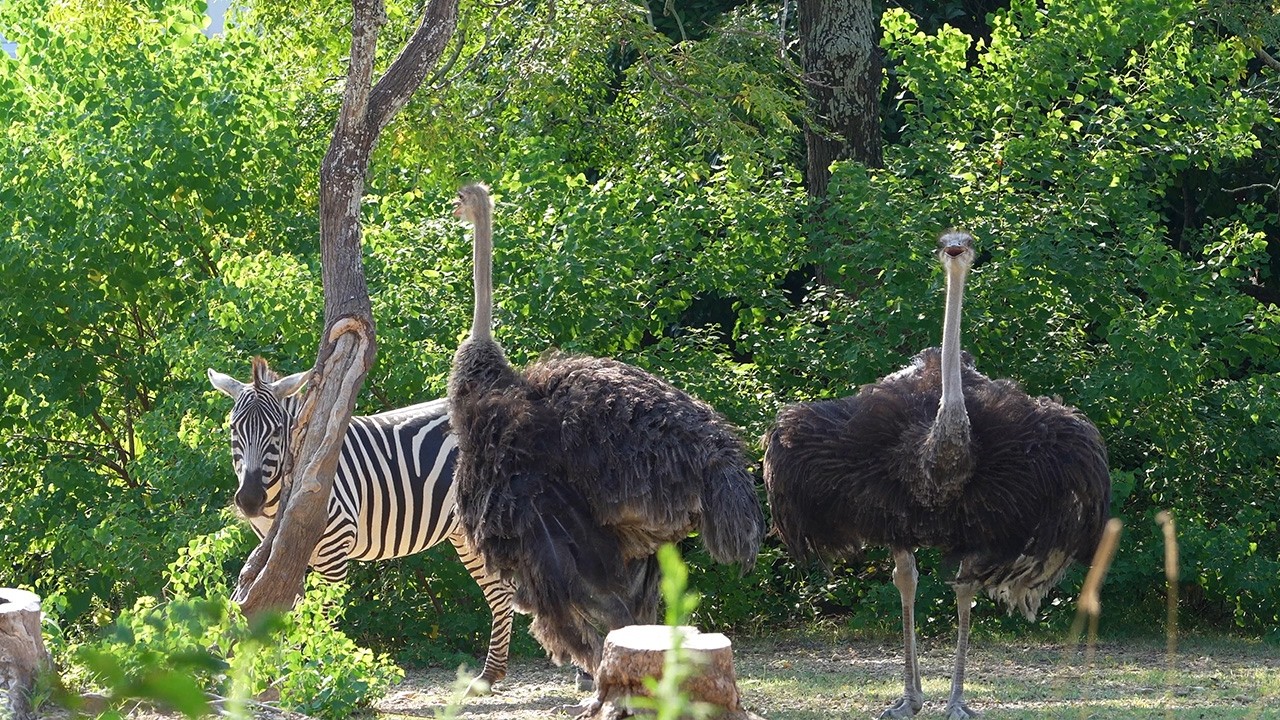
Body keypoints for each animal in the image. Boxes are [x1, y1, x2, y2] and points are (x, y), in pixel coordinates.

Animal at [208, 356, 515, 690]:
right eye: (234, 429)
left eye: (277, 431)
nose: (250, 499)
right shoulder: (287, 550)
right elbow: (291, 611)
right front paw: (285, 674)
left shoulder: (333, 549)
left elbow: (323, 615)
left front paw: (318, 674)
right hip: (464, 533)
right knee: (500, 593)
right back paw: (489, 676)